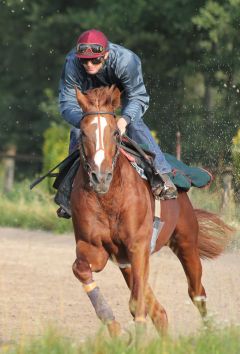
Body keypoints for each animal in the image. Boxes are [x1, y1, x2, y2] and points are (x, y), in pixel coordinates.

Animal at [71, 84, 231, 336]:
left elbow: (137, 304)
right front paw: (115, 329)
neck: (110, 201)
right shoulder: (95, 247)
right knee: (160, 312)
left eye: (115, 133)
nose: (100, 177)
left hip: (186, 242)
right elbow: (81, 269)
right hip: (127, 262)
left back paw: (210, 332)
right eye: (83, 133)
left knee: (197, 293)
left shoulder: (138, 247)